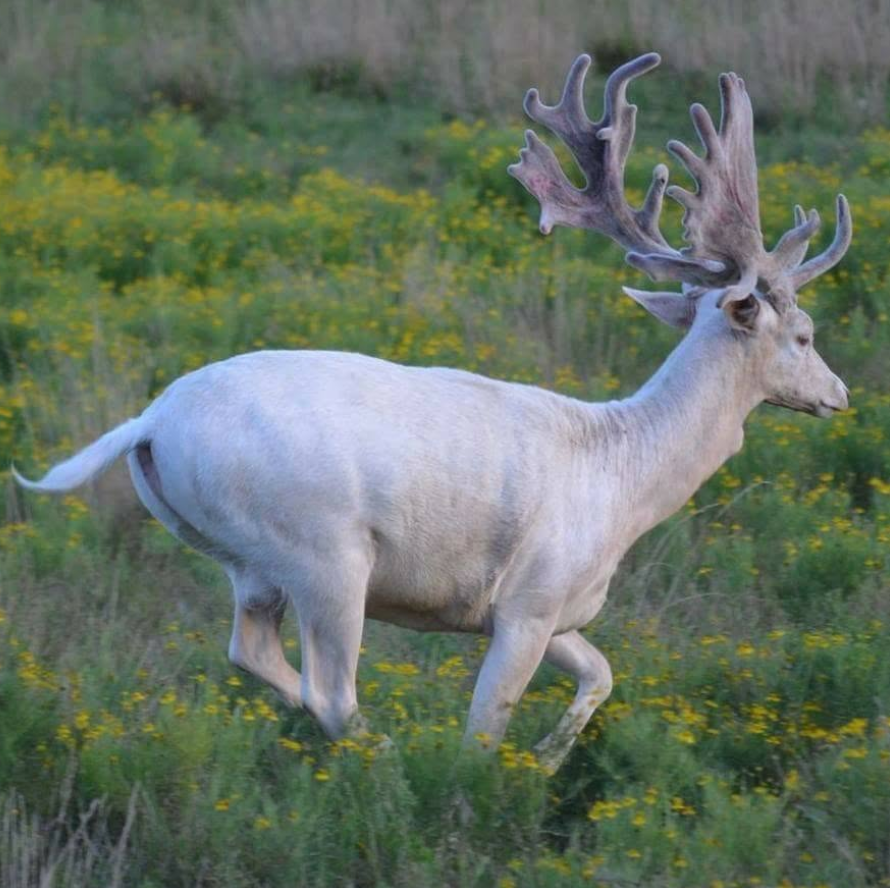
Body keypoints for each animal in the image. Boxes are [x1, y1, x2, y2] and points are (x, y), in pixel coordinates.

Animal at [13, 52, 851, 773]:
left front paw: (547, 761)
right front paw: (483, 792)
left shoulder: (541, 610)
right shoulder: (530, 598)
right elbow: (486, 727)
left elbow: (601, 674)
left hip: (244, 561)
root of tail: (149, 422)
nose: (840, 394)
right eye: (804, 334)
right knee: (330, 691)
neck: (623, 481)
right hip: (325, 554)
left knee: (252, 653)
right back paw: (391, 758)